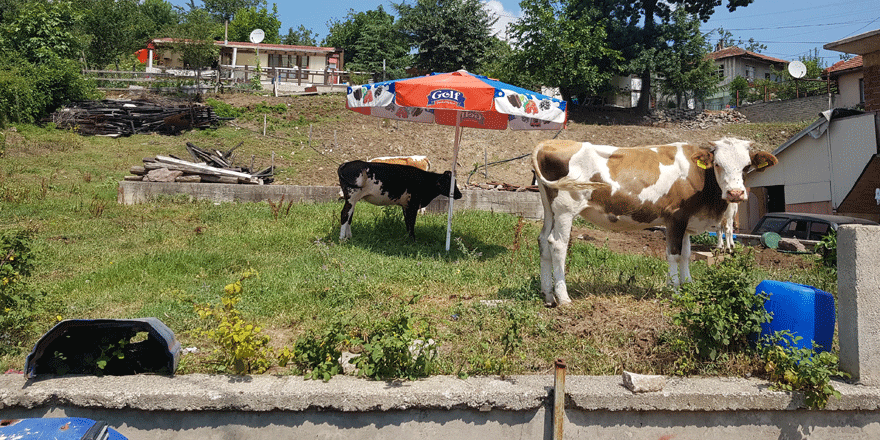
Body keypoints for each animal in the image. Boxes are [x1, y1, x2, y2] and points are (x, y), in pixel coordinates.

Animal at [531, 137, 778, 307]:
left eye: (747, 167)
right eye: (718, 164)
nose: (735, 193)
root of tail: (549, 143)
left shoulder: (686, 221)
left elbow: (686, 255)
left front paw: (688, 285)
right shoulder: (675, 217)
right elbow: (674, 254)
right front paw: (675, 289)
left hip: (550, 208)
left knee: (543, 241)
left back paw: (548, 294)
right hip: (566, 209)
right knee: (558, 244)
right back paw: (563, 297)